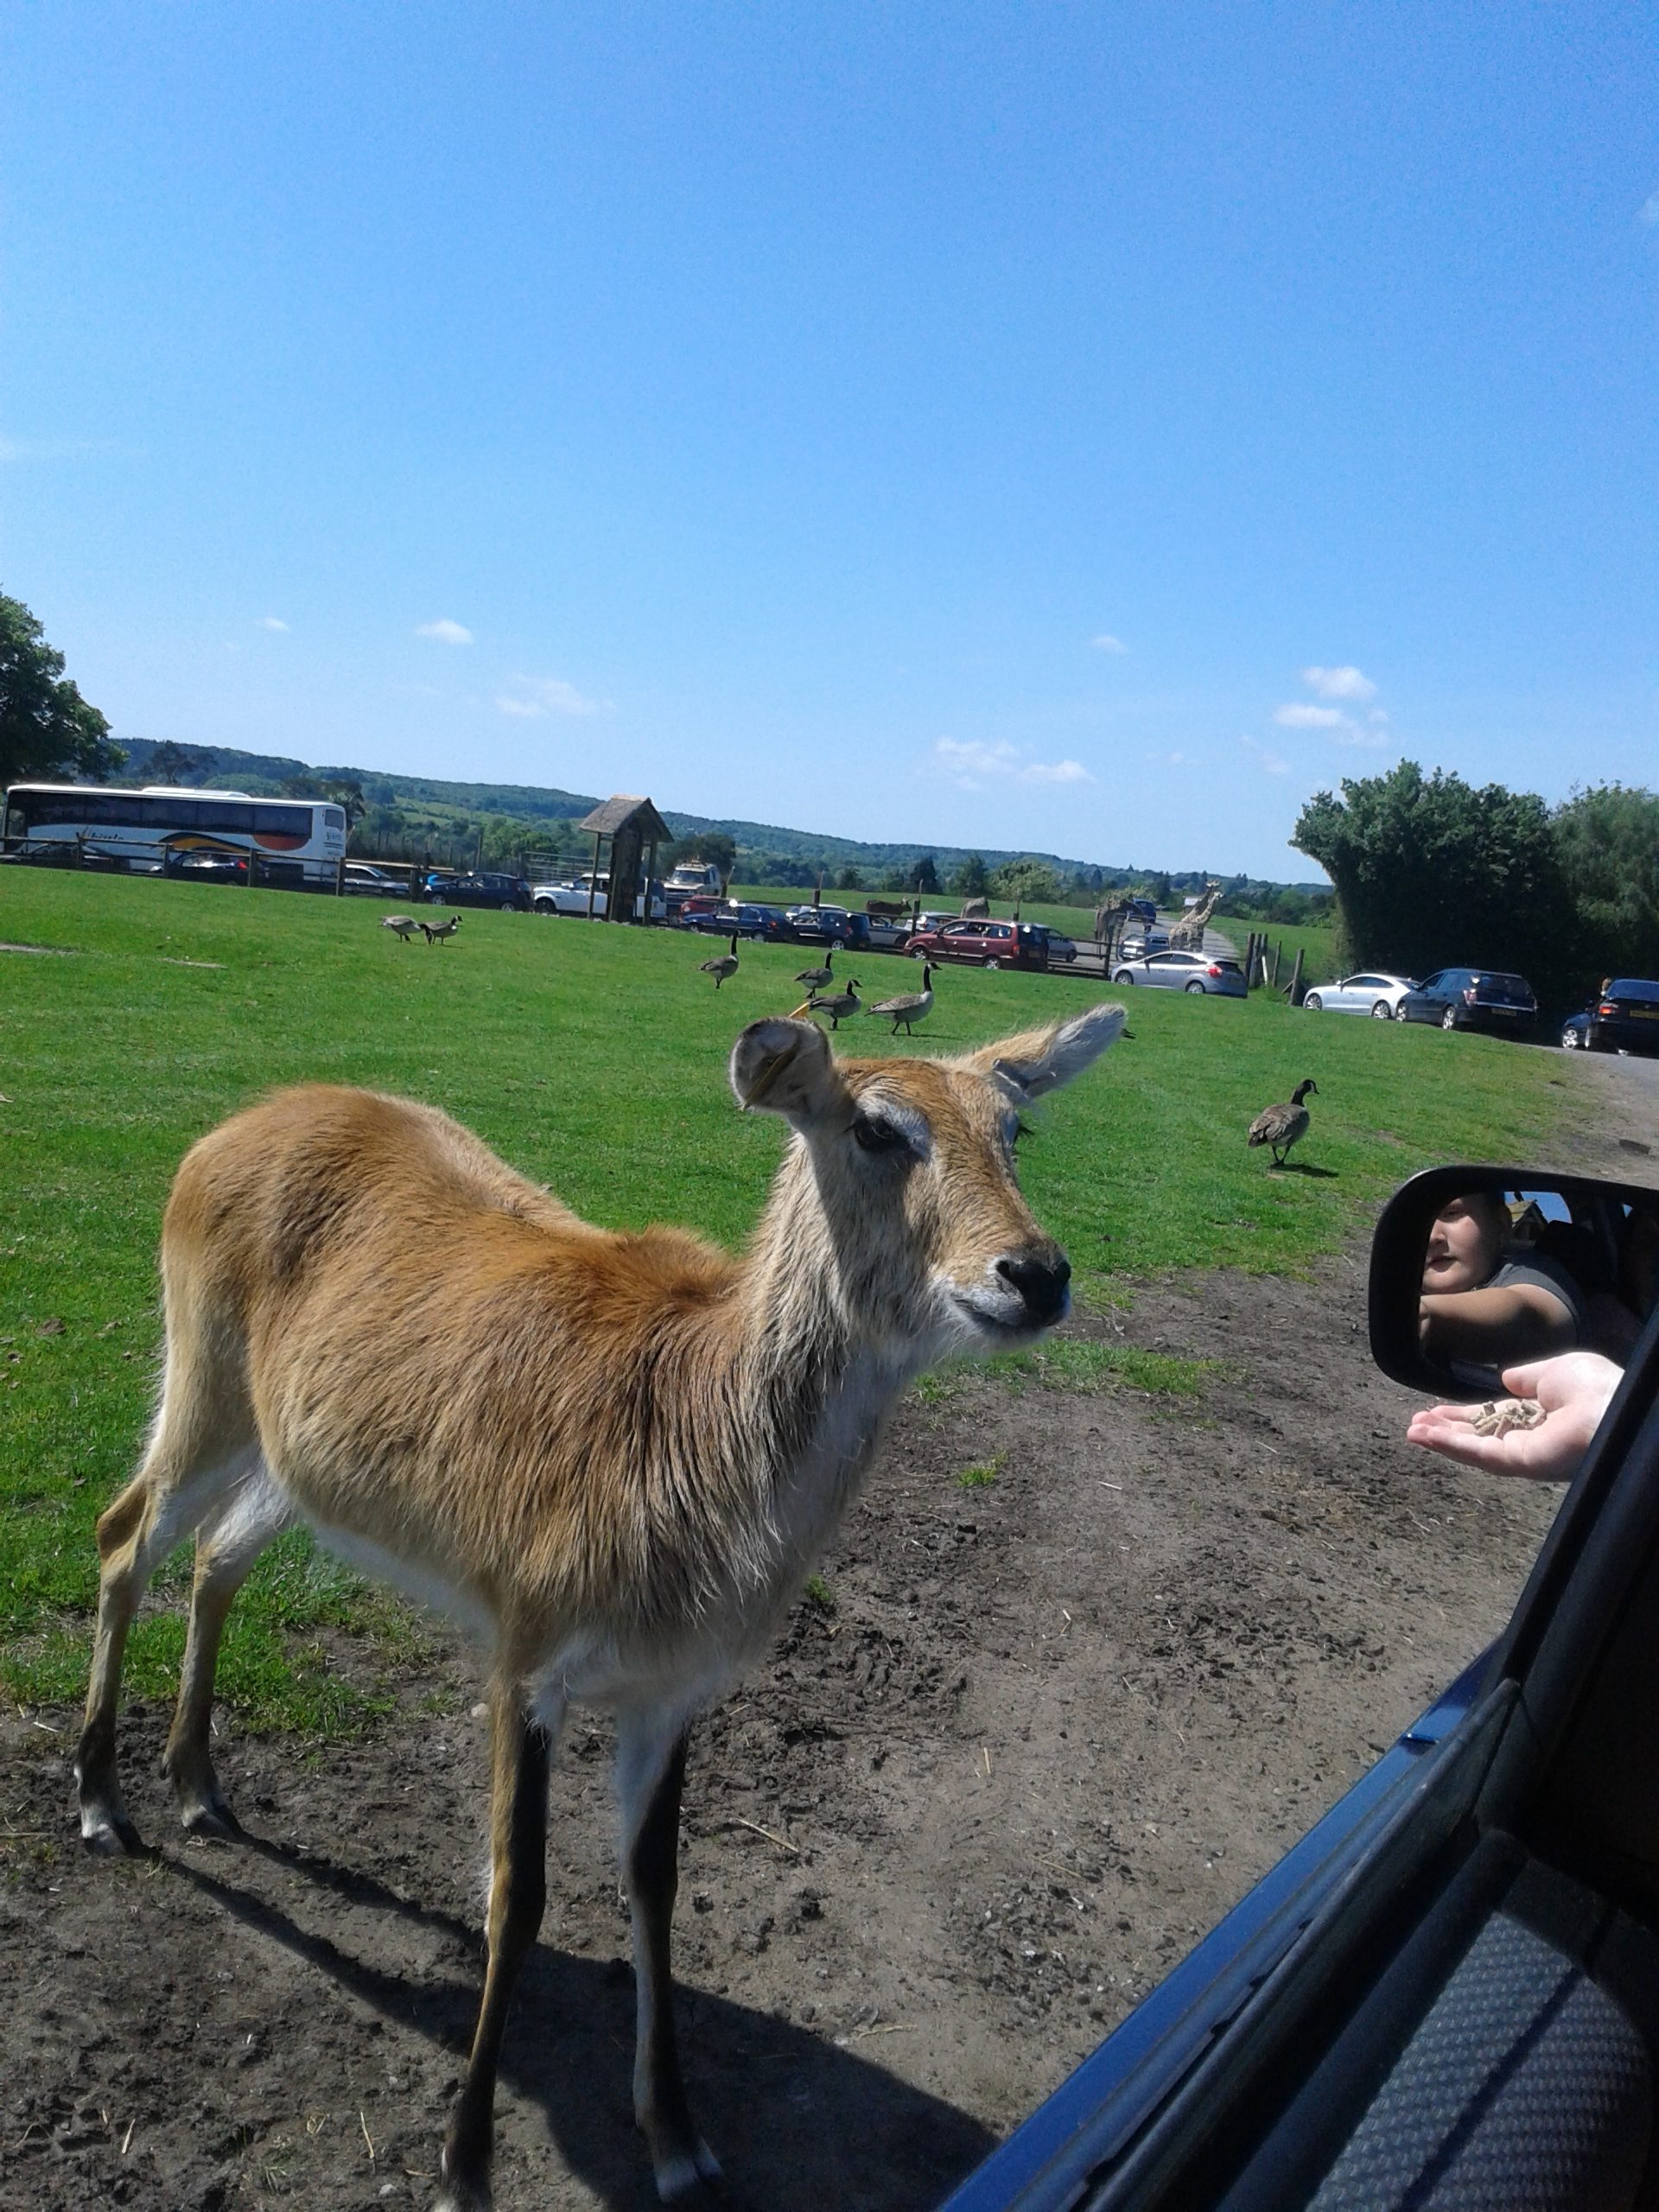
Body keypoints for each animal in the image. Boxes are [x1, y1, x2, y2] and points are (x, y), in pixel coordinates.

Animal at [71, 1008, 1123, 2212]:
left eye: (1015, 1125)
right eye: (875, 1124)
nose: (1036, 1272)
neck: (688, 1475)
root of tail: (221, 1134)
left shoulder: (675, 1687)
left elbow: (656, 1883)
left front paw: (678, 2139)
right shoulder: (526, 1643)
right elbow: (515, 1890)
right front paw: (464, 2163)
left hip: (290, 1459)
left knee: (214, 1559)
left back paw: (202, 1788)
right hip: (201, 1375)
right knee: (121, 1534)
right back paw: (103, 1802)